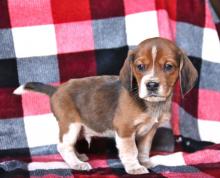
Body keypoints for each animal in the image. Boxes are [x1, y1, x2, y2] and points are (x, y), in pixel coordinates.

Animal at [13, 36, 198, 175]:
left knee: (69, 145)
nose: (151, 85)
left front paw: (145, 162)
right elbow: (131, 151)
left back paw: (79, 157)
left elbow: (144, 149)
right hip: (70, 125)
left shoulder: (149, 131)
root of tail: (56, 89)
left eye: (168, 66)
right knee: (63, 146)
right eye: (140, 67)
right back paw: (76, 164)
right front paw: (135, 167)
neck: (151, 105)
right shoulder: (125, 130)